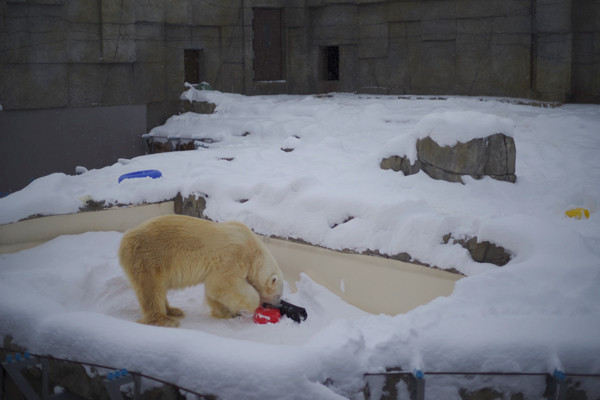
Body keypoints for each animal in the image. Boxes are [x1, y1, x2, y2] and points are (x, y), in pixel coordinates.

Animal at [120, 217, 284, 326]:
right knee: (152, 289)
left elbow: (214, 291)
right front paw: (250, 306)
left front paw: (224, 312)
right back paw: (165, 319)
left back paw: (174, 310)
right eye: (278, 295)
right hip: (149, 258)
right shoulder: (234, 257)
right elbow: (223, 285)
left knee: (159, 289)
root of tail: (125, 239)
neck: (252, 248)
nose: (277, 306)